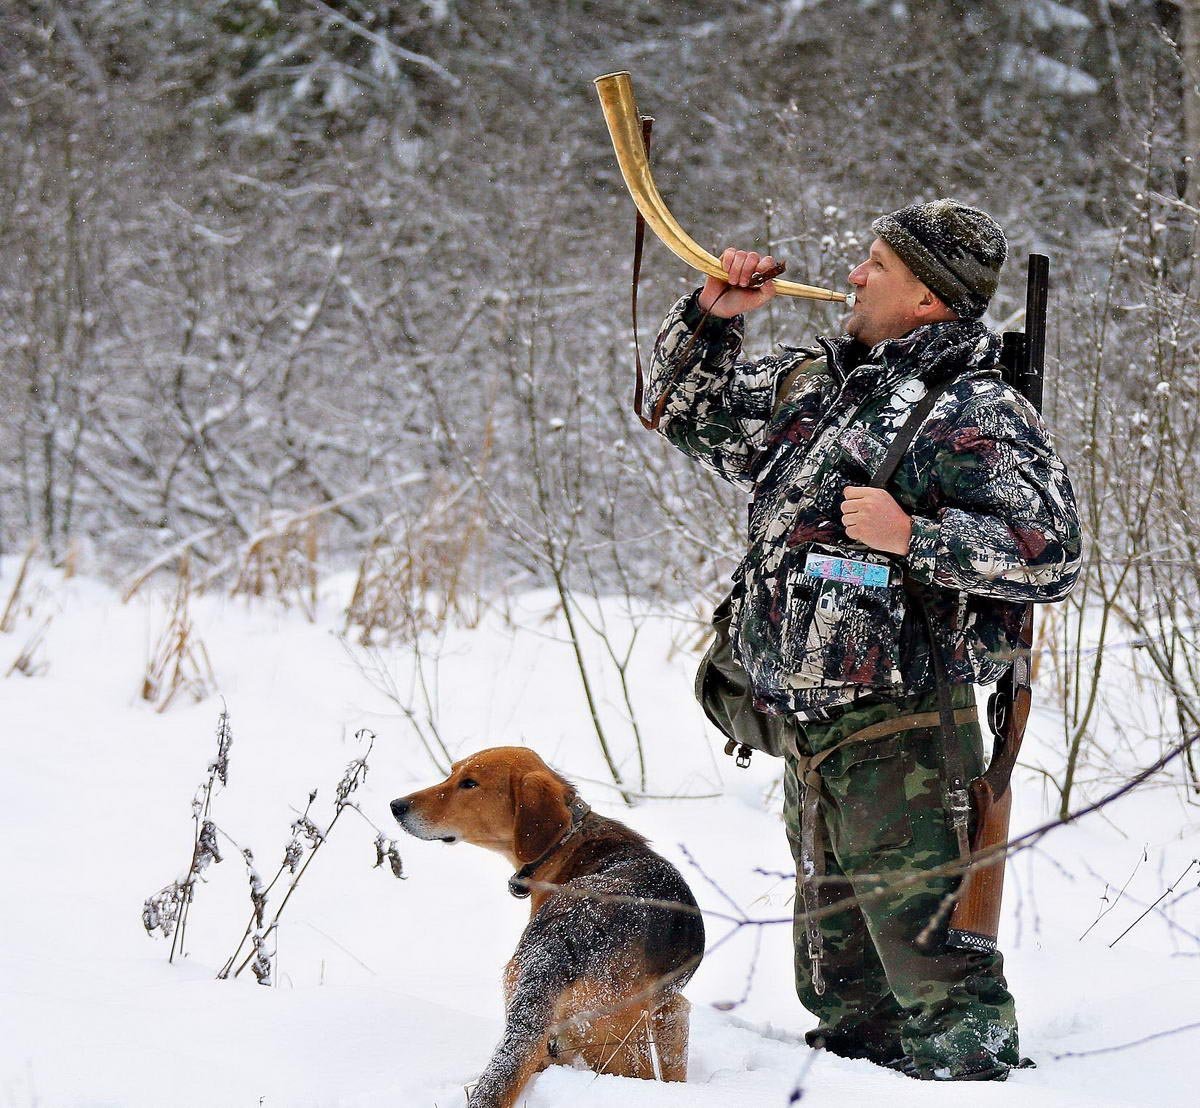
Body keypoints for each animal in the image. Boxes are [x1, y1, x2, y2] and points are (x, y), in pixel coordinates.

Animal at [393, 744, 705, 1108]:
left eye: (468, 783)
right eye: (452, 773)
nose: (396, 806)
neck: (566, 841)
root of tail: (562, 941)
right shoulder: (672, 1009)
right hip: (616, 1038)